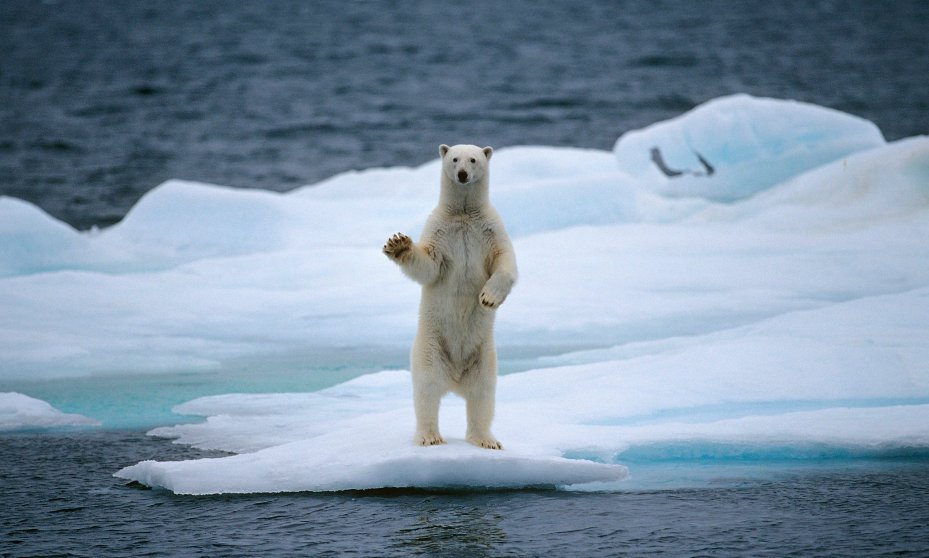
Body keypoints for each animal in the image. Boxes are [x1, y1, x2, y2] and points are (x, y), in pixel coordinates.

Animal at [383, 144, 517, 450]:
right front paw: (398, 244)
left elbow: (505, 263)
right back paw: (430, 436)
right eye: (454, 159)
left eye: (474, 159)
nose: (463, 174)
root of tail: (455, 379)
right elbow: (428, 266)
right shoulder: (440, 231)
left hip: (484, 356)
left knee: (483, 395)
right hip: (430, 348)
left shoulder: (491, 229)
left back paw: (486, 439)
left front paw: (488, 298)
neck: (464, 214)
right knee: (427, 390)